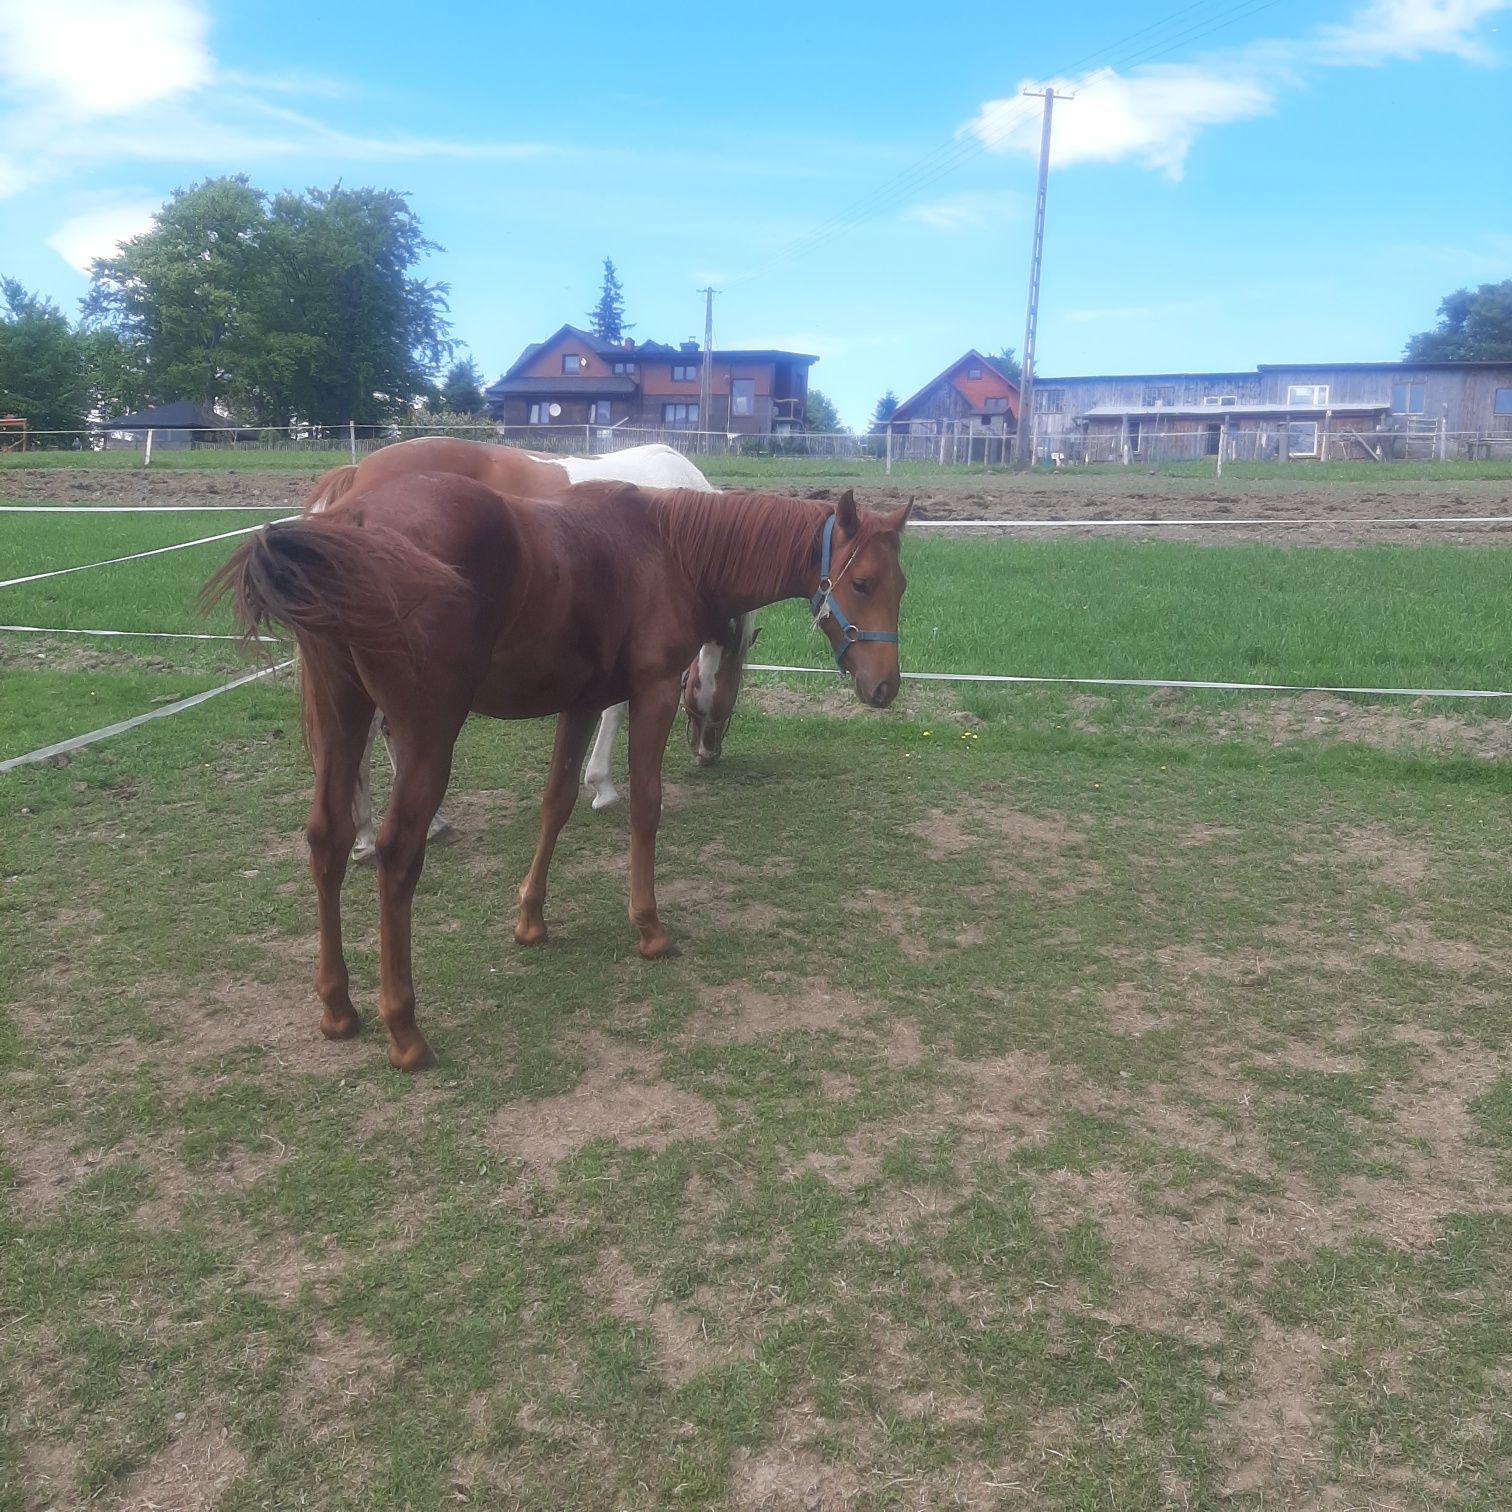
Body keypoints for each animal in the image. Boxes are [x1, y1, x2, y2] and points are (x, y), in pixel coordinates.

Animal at [204, 477, 907, 1070]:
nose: (885, 688)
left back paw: (337, 1007)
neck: (669, 548)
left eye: (900, 586)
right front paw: (648, 928)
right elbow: (645, 806)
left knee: (327, 838)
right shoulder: (652, 694)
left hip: (341, 716)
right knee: (396, 852)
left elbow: (557, 802)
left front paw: (531, 920)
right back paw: (403, 1030)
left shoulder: (581, 702)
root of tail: (350, 518)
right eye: (863, 584)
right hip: (426, 734)